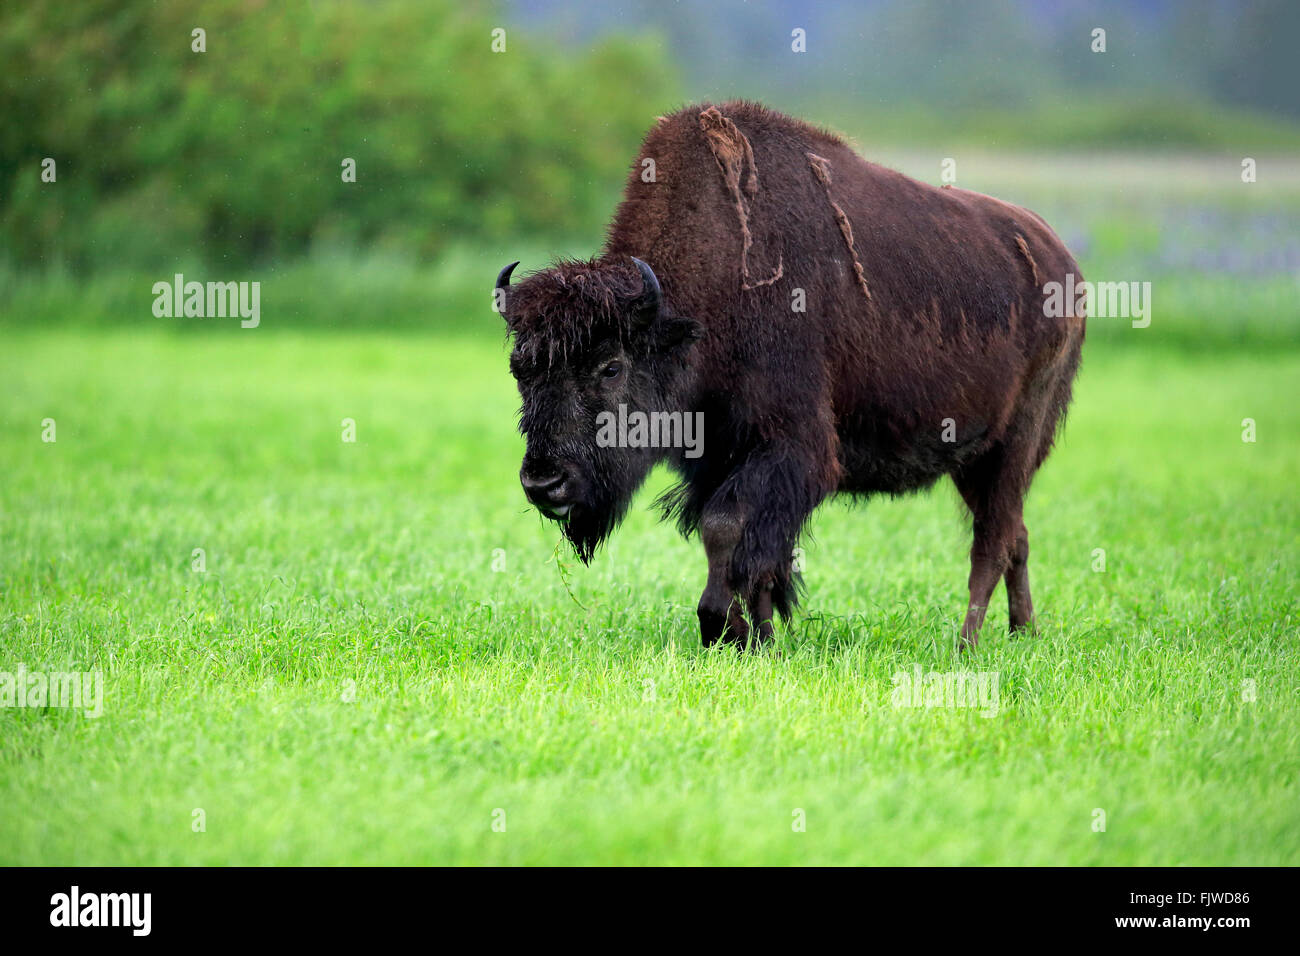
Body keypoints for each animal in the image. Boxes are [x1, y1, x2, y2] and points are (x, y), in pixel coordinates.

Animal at [491, 100, 1081, 647]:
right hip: (974, 458)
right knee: (1016, 535)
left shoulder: (791, 449)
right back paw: (1023, 633)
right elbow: (746, 550)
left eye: (611, 367)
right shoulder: (717, 455)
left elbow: (728, 530)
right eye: (520, 370)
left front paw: (722, 628)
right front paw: (756, 638)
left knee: (992, 541)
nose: (543, 482)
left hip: (1015, 443)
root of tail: (1062, 260)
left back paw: (966, 645)